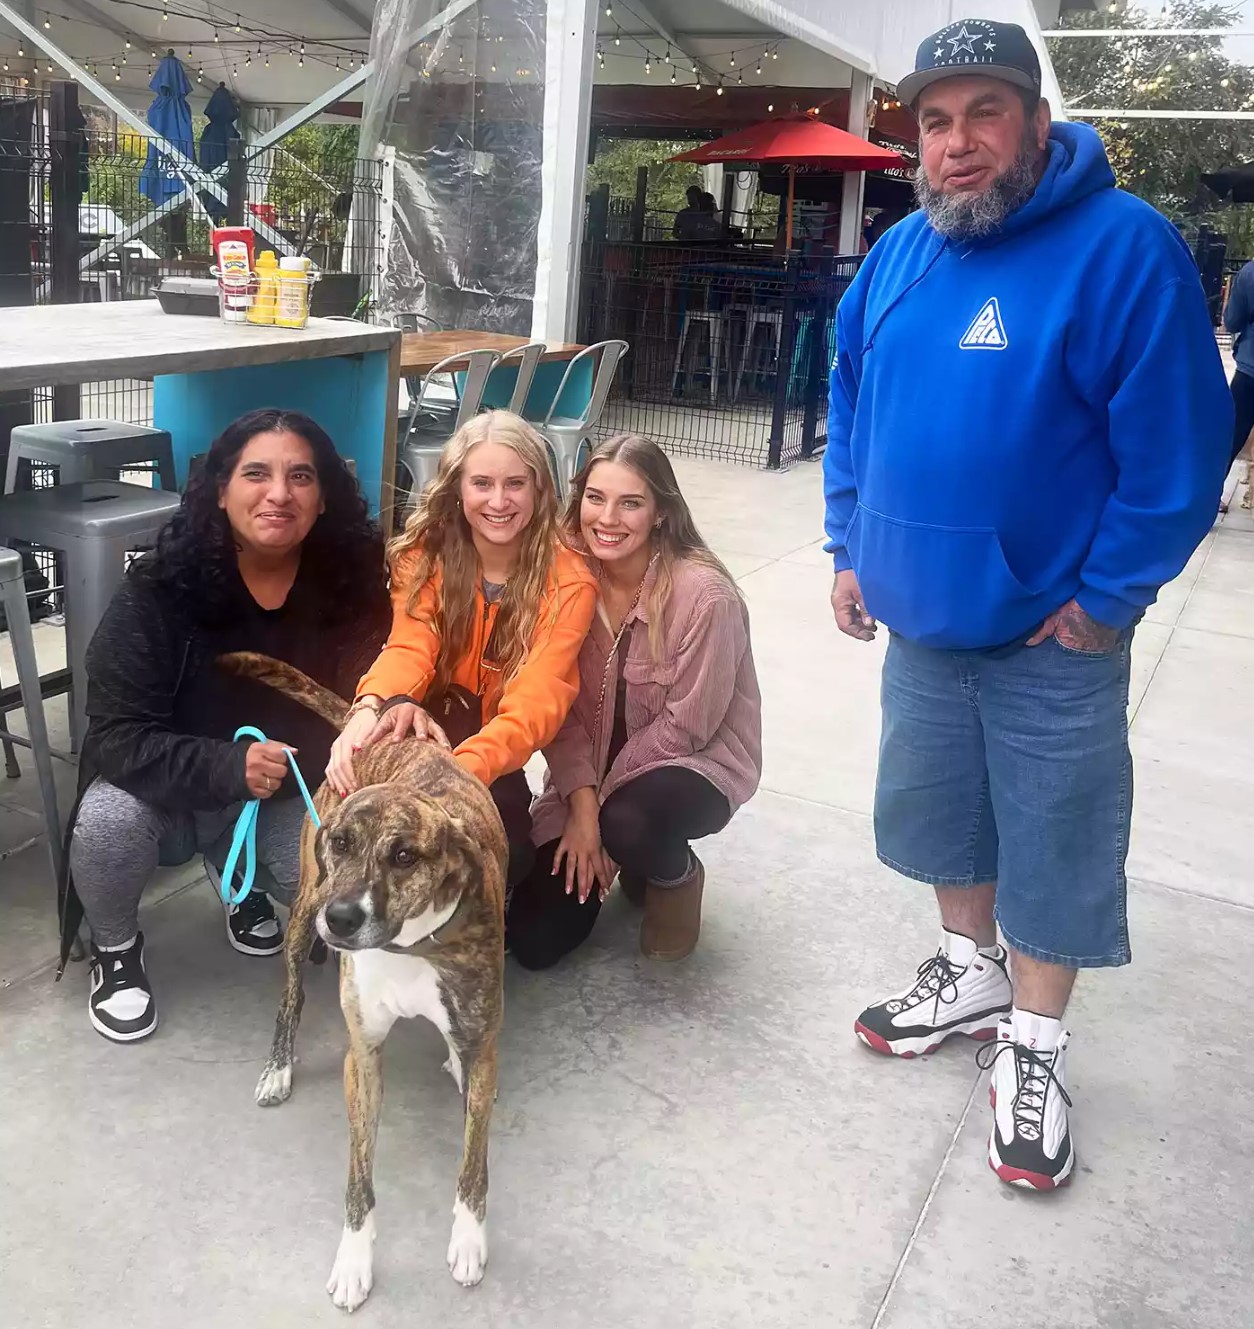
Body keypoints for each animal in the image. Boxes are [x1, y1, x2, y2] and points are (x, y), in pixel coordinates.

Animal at [217, 648, 507, 1313]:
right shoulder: (363, 1056)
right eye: (343, 843)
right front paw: (353, 1260)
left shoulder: (486, 1055)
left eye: (404, 856)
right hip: (303, 909)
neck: (410, 942)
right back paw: (278, 1066)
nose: (342, 919)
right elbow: (359, 1177)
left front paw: (469, 1238)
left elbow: (474, 1161)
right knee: (291, 996)